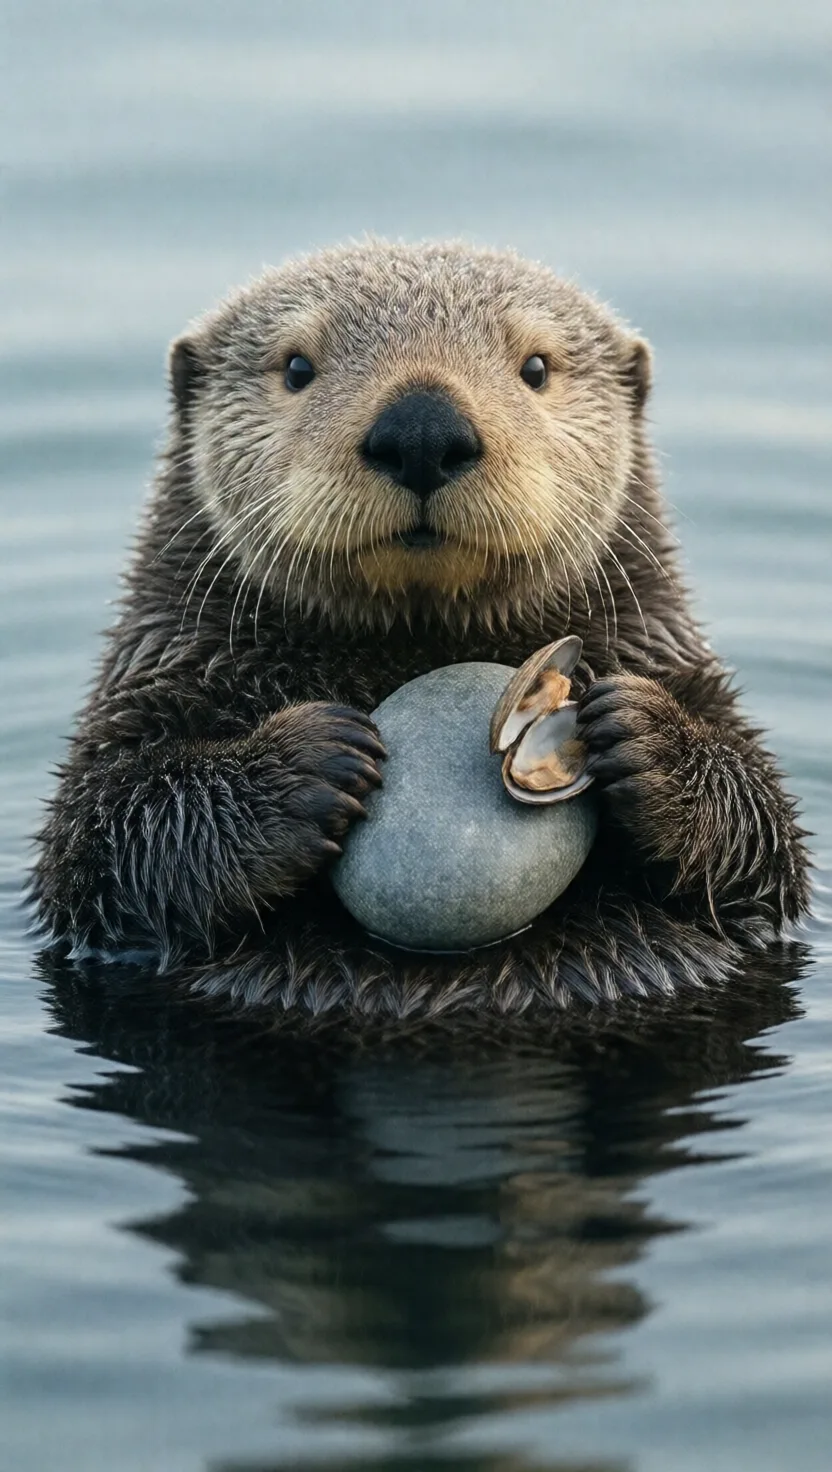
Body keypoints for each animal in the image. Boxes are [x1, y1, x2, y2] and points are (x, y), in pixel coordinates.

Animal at [33, 240, 809, 1018]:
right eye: (296, 367)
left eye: (536, 368)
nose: (423, 430)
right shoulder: (157, 679)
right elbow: (104, 830)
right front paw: (314, 758)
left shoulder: (670, 657)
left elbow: (765, 838)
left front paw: (642, 732)